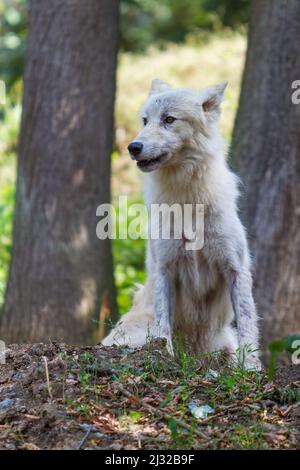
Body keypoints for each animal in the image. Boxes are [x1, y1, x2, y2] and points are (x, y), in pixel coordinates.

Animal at [102, 80, 260, 370]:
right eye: (145, 120)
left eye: (169, 119)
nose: (133, 146)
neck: (187, 199)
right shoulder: (165, 269)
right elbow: (163, 325)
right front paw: (164, 357)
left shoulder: (235, 269)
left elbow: (247, 323)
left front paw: (252, 368)